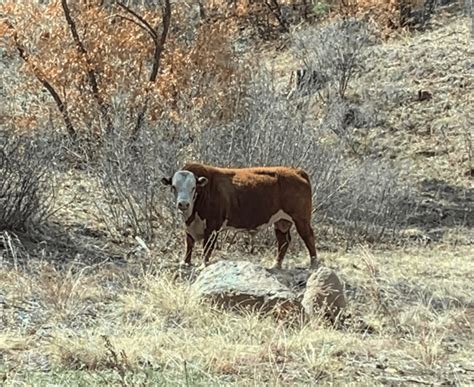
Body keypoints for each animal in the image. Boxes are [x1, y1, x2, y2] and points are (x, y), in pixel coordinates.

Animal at [161, 163, 320, 270]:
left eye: (193, 187)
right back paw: (276, 265)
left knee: (308, 236)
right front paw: (185, 262)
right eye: (174, 187)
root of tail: (296, 171)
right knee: (284, 241)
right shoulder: (189, 226)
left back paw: (313, 264)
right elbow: (189, 243)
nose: (183, 204)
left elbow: (207, 246)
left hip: (301, 218)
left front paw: (203, 265)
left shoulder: (213, 226)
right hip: (281, 221)